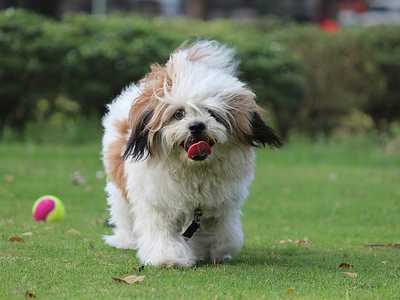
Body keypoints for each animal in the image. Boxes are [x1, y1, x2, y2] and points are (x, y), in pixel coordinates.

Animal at [101, 40, 282, 268]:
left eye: (212, 113)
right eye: (179, 114)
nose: (197, 126)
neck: (193, 169)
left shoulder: (219, 206)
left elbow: (223, 235)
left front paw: (211, 251)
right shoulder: (157, 202)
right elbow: (163, 233)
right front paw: (168, 257)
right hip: (120, 189)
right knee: (124, 214)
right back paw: (126, 240)